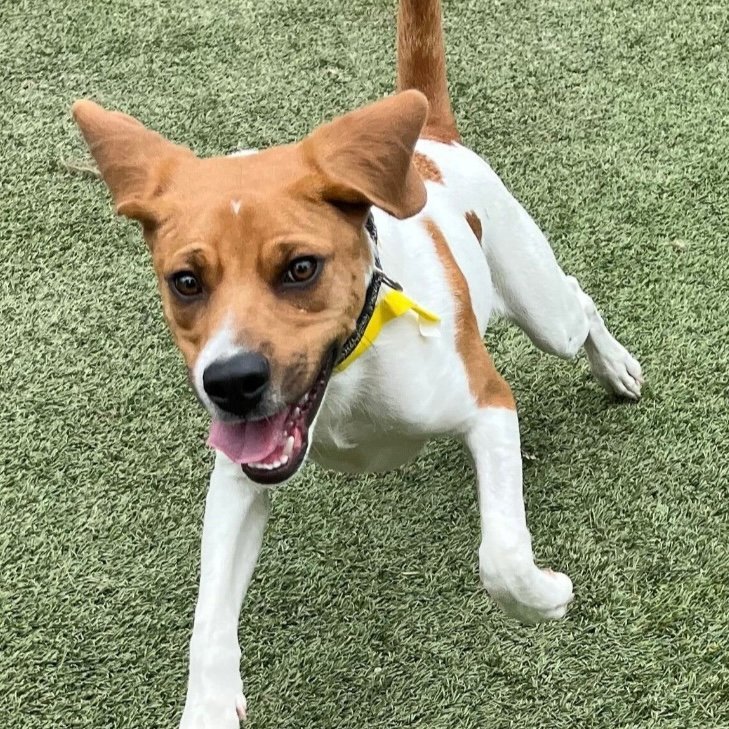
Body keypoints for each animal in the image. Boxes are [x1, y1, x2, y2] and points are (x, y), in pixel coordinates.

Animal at [72, 0, 643, 725]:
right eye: (186, 281)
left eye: (300, 268)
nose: (229, 381)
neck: (346, 378)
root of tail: (430, 144)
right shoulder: (240, 474)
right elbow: (208, 616)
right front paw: (209, 703)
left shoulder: (487, 403)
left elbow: (503, 554)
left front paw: (544, 595)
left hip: (541, 307)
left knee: (577, 301)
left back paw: (616, 367)